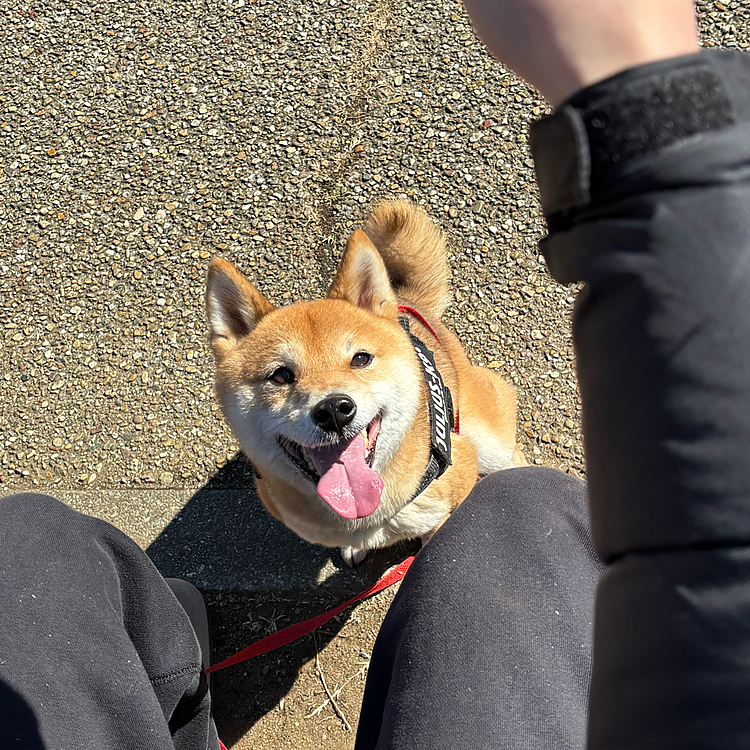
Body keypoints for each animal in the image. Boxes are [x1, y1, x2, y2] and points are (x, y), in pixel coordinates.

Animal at [206, 200, 524, 564]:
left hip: (486, 440)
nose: (333, 410)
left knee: (512, 453)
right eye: (281, 375)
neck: (362, 515)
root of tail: (407, 306)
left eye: (360, 359)